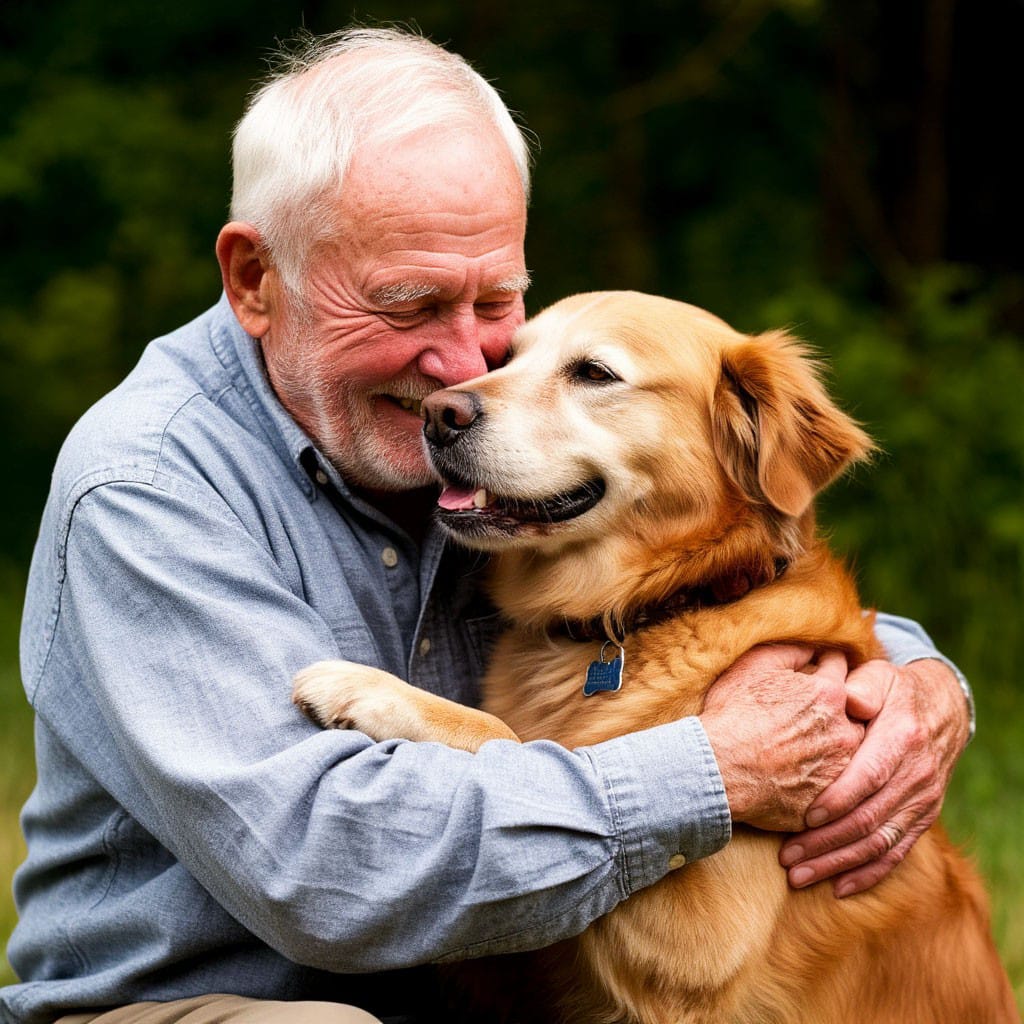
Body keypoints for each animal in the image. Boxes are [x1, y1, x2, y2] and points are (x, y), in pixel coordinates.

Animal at [292, 290, 1011, 1024]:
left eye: (594, 373)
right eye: (506, 358)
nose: (439, 413)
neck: (658, 606)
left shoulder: (692, 943)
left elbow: (527, 749)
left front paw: (365, 688)